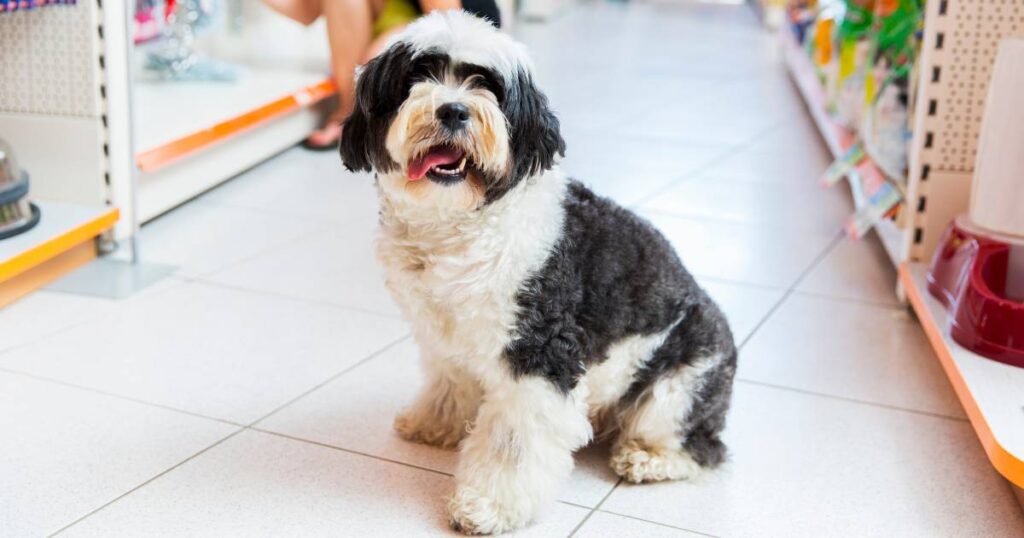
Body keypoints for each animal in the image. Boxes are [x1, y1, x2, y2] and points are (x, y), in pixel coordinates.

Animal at [342, 10, 737, 532]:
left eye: (487, 85)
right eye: (416, 77)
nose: (453, 110)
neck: (459, 224)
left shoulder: (540, 354)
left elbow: (515, 442)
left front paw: (488, 506)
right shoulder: (444, 334)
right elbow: (449, 381)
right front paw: (436, 422)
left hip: (680, 386)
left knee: (702, 448)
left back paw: (647, 458)